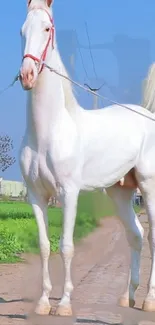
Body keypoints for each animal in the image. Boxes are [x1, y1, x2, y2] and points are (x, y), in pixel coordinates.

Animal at [19, 0, 155, 316]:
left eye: (47, 28)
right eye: (22, 30)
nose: (27, 75)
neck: (48, 131)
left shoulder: (69, 192)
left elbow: (66, 246)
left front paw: (64, 304)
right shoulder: (36, 195)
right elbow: (44, 246)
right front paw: (43, 302)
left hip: (148, 186)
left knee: (153, 238)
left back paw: (149, 300)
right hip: (120, 192)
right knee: (136, 235)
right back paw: (127, 297)